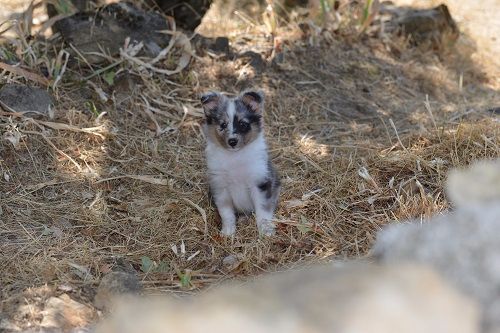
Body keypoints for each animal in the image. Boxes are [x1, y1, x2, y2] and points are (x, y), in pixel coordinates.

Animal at [200, 90, 280, 236]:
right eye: (223, 125)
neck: (235, 156)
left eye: (243, 124)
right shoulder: (220, 187)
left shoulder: (260, 182)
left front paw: (266, 230)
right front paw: (228, 231)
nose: (232, 141)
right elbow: (226, 213)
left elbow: (263, 211)